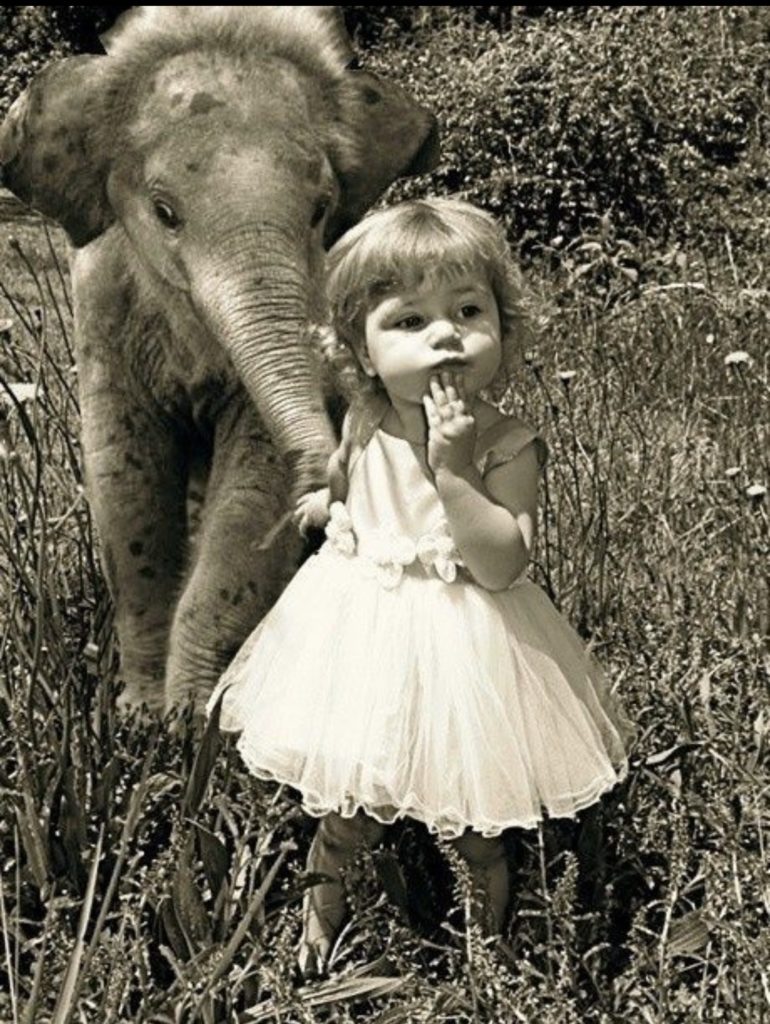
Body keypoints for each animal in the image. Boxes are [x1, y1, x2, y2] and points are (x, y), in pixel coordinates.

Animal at [0, 6, 438, 712]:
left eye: (321, 210)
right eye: (163, 212)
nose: (321, 507)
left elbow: (251, 491)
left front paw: (188, 714)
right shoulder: (101, 306)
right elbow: (125, 478)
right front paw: (143, 714)